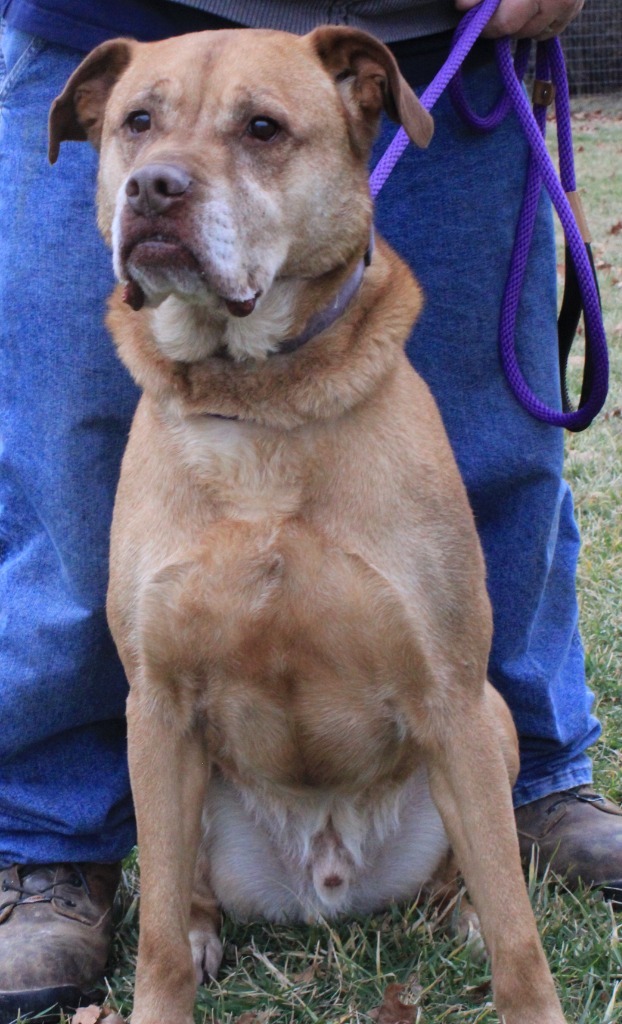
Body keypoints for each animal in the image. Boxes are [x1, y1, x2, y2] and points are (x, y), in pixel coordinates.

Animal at [51, 24, 569, 1024]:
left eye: (263, 128)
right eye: (138, 122)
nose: (154, 189)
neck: (257, 400)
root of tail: (324, 881)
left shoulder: (451, 697)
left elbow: (522, 936)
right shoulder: (157, 705)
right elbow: (158, 935)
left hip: (491, 725)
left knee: (477, 875)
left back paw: (461, 909)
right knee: (182, 894)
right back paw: (206, 928)